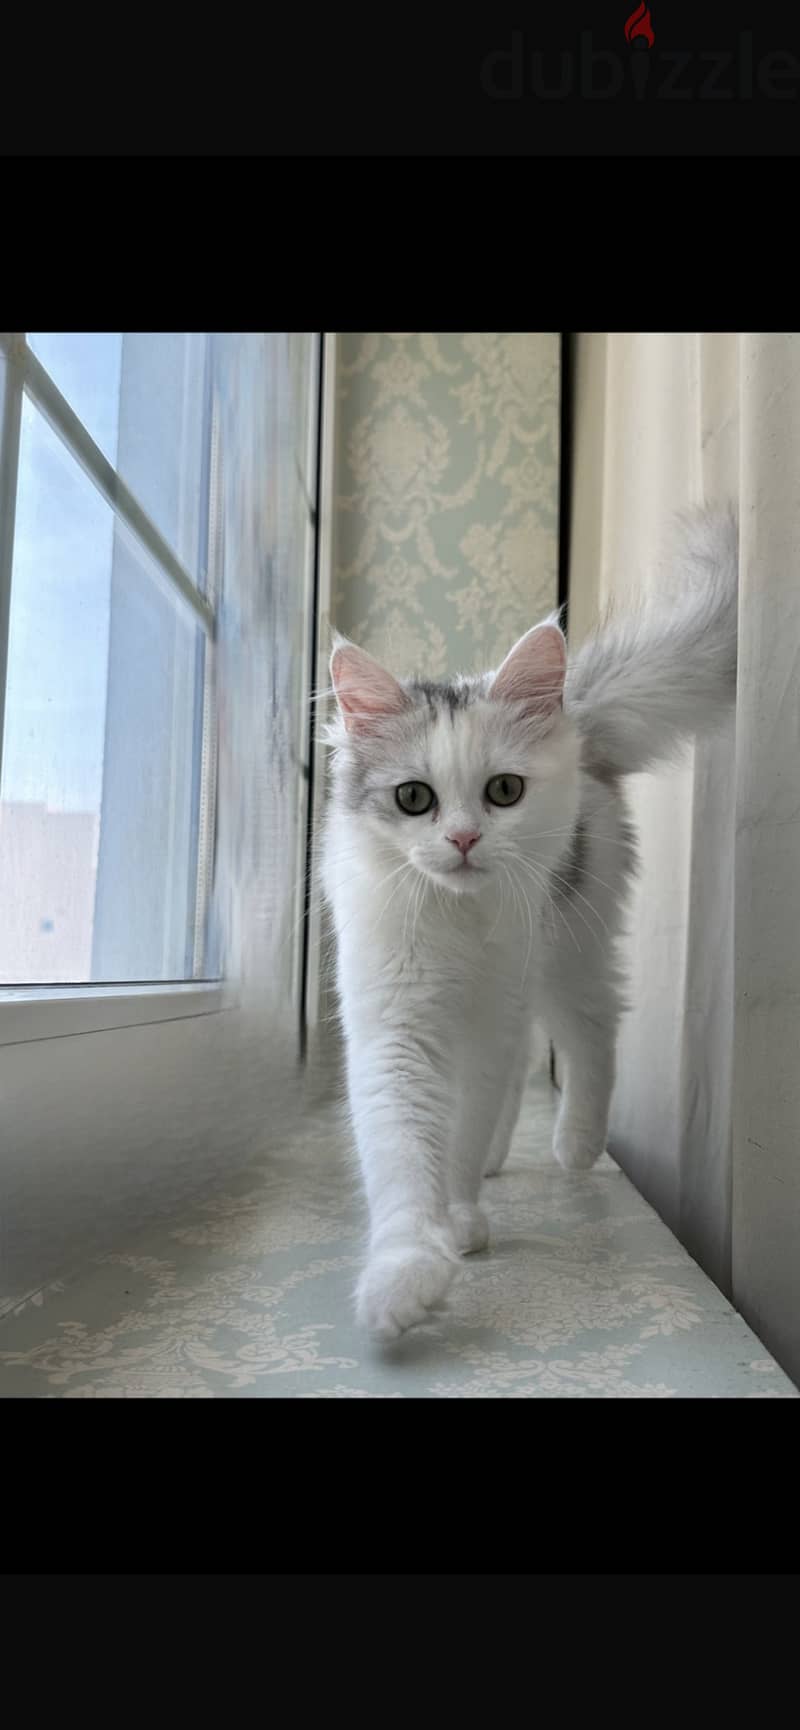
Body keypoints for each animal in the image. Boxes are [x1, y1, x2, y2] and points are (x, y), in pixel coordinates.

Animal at [318, 505, 737, 1342]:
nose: (463, 840)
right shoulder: (395, 1029)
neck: (451, 920)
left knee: (593, 1031)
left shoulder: (488, 1020)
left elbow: (460, 1129)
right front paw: (406, 1272)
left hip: (567, 948)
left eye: (504, 791)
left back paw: (575, 1144)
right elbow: (405, 1158)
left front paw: (456, 1220)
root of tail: (578, 726)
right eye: (414, 800)